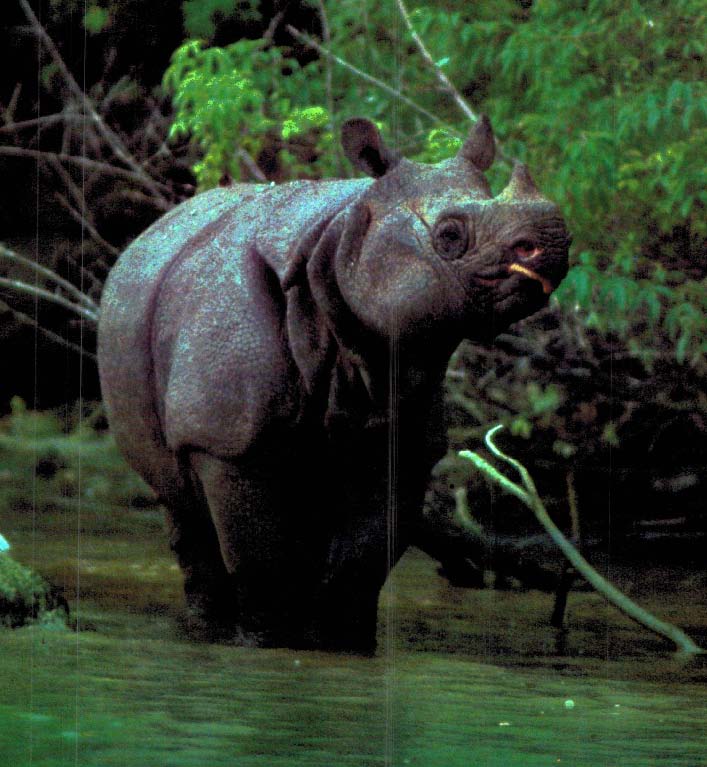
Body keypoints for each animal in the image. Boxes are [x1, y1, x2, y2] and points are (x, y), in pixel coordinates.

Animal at [97, 117, 570, 652]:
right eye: (449, 235)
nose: (554, 242)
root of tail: (151, 231)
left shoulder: (404, 439)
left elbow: (358, 569)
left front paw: (341, 646)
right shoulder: (224, 439)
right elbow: (262, 565)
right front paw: (265, 642)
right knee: (184, 511)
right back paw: (206, 629)